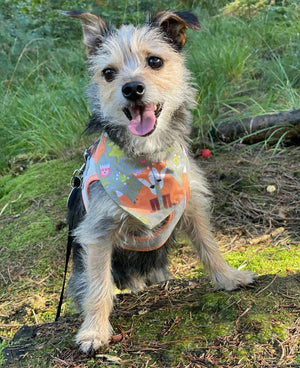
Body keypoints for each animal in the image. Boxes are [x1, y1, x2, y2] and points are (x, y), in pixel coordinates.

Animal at [65, 10, 255, 352]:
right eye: (108, 73)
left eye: (154, 61)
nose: (132, 88)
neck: (147, 160)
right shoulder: (98, 231)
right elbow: (98, 286)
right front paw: (94, 331)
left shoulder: (191, 205)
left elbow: (209, 246)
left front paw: (228, 277)